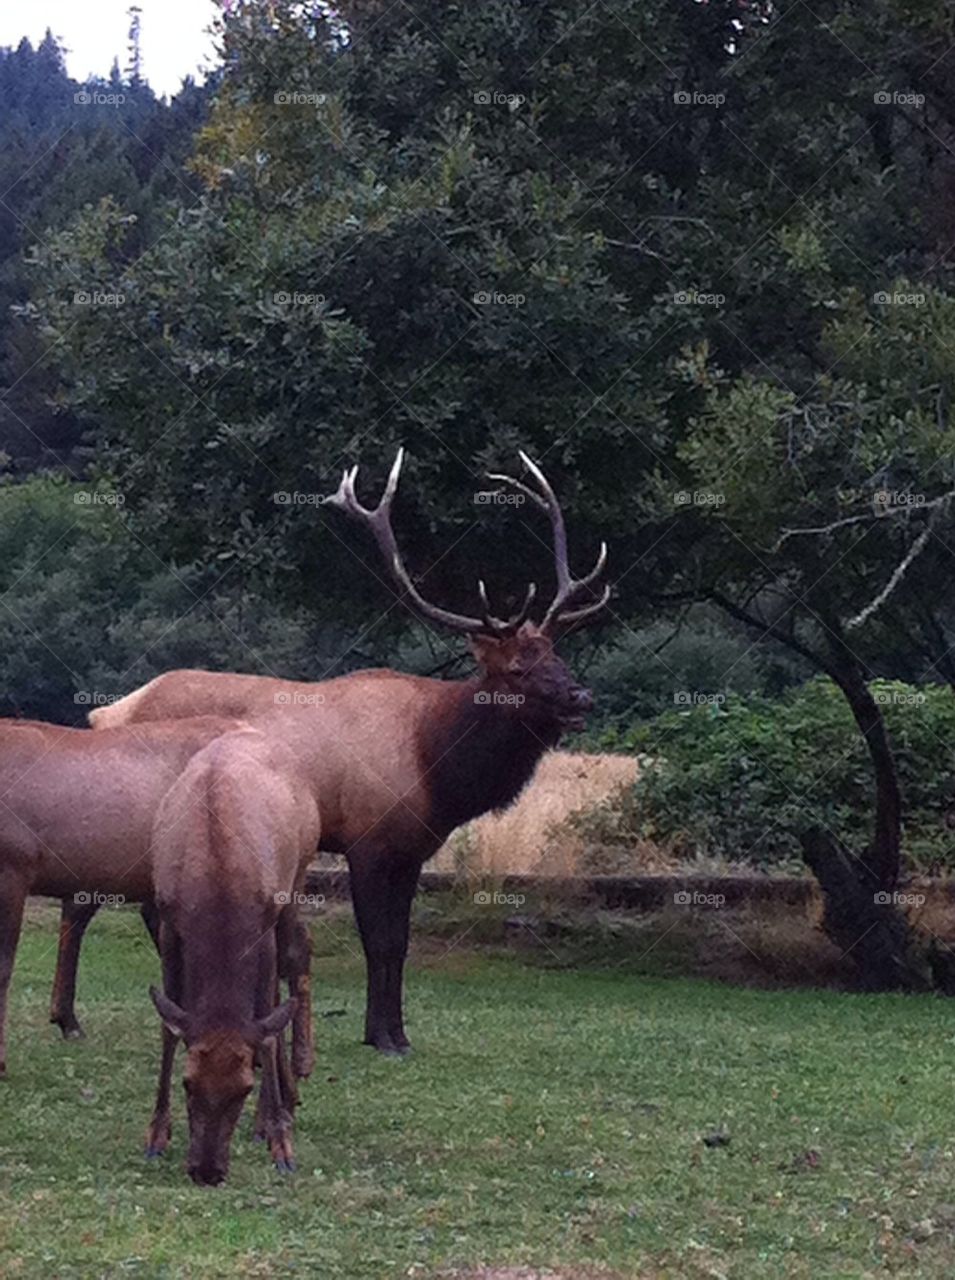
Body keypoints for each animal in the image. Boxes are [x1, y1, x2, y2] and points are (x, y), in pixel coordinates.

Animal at [68, 451, 610, 1055]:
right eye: (517, 667)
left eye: (556, 653)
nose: (581, 697)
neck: (435, 764)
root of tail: (106, 714)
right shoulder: (367, 838)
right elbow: (380, 942)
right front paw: (383, 1037)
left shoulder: (411, 848)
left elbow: (400, 943)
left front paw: (395, 1032)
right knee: (95, 899)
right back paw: (81, 1020)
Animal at [146, 724, 320, 1184]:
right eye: (188, 1082)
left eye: (243, 1087)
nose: (207, 1171)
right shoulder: (169, 921)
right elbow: (169, 1027)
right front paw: (156, 1134)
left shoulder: (261, 923)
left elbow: (266, 1025)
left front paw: (281, 1142)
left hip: (298, 878)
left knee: (292, 965)